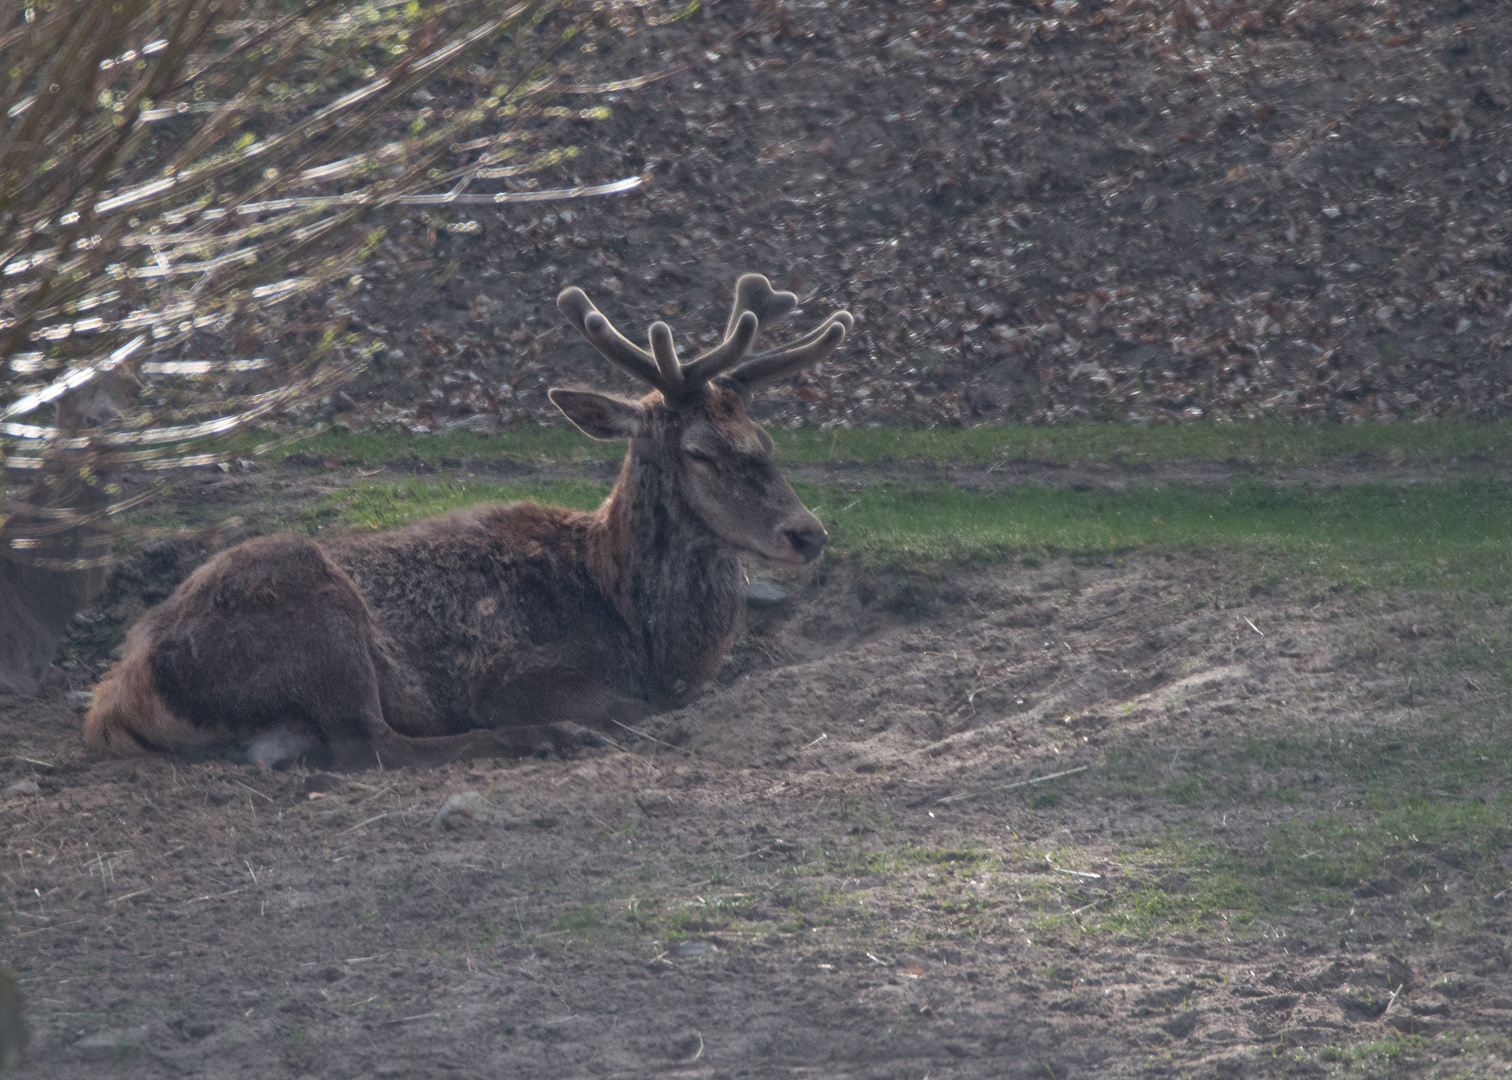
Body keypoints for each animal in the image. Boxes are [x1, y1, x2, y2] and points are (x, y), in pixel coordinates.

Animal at [85, 275, 852, 765]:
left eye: (767, 441)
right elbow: (640, 710)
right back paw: (547, 739)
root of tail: (118, 696)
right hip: (316, 613)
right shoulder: (511, 673)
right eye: (700, 451)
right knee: (369, 745)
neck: (635, 625)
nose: (807, 533)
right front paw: (565, 725)